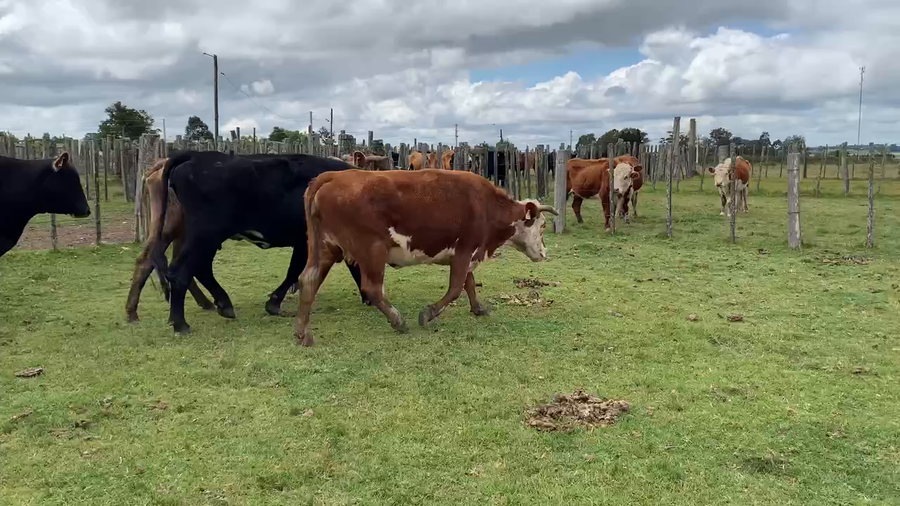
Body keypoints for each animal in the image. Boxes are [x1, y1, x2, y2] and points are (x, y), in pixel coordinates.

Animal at [149, 150, 369, 334]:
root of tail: (197, 155)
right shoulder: (307, 241)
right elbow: (294, 271)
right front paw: (274, 304)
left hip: (207, 237)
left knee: (200, 269)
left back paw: (223, 305)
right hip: (206, 234)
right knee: (180, 272)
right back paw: (180, 324)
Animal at [293, 169, 559, 346]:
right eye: (543, 225)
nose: (545, 253)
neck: (487, 206)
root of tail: (334, 175)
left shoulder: (468, 255)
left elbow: (470, 284)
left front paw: (478, 308)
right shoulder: (464, 251)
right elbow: (455, 288)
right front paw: (429, 313)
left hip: (326, 248)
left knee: (309, 280)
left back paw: (303, 333)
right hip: (372, 250)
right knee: (373, 289)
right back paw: (398, 321)